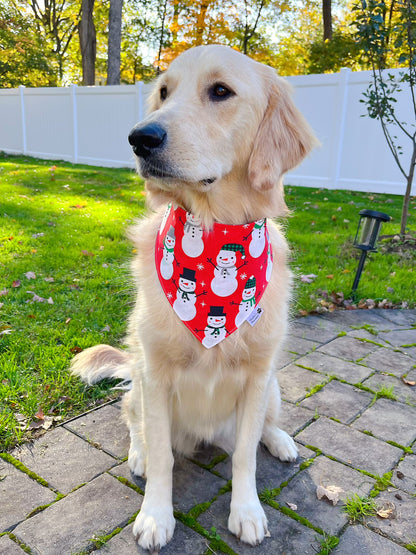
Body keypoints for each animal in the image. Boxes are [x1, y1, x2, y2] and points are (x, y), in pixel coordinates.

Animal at [70, 45, 316, 552]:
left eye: (220, 91)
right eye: (164, 92)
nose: (139, 138)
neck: (212, 231)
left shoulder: (258, 376)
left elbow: (245, 454)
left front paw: (247, 511)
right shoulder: (156, 375)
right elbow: (163, 455)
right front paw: (155, 516)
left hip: (273, 388)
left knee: (263, 429)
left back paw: (280, 440)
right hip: (138, 382)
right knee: (135, 426)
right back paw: (139, 455)